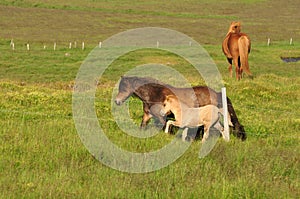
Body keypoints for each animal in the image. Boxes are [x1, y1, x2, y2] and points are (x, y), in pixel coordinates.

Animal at [115, 76, 246, 140]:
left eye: (124, 87)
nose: (117, 101)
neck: (154, 94)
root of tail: (216, 93)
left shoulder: (162, 117)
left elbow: (165, 126)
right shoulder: (147, 115)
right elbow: (142, 127)